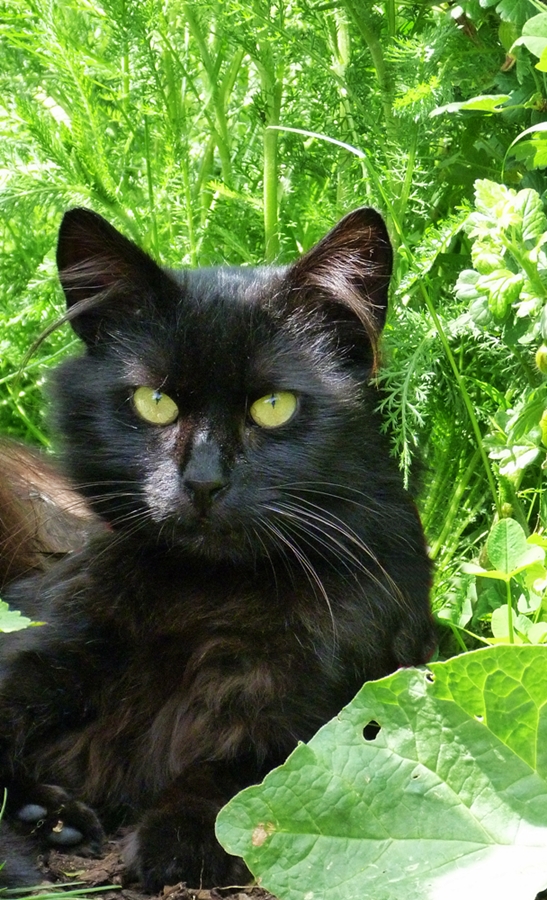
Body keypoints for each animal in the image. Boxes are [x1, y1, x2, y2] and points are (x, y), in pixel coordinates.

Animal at [0, 207, 436, 888]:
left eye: (274, 406)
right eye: (154, 402)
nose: (204, 481)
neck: (204, 596)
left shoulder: (327, 703)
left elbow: (248, 777)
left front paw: (177, 843)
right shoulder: (35, 648)